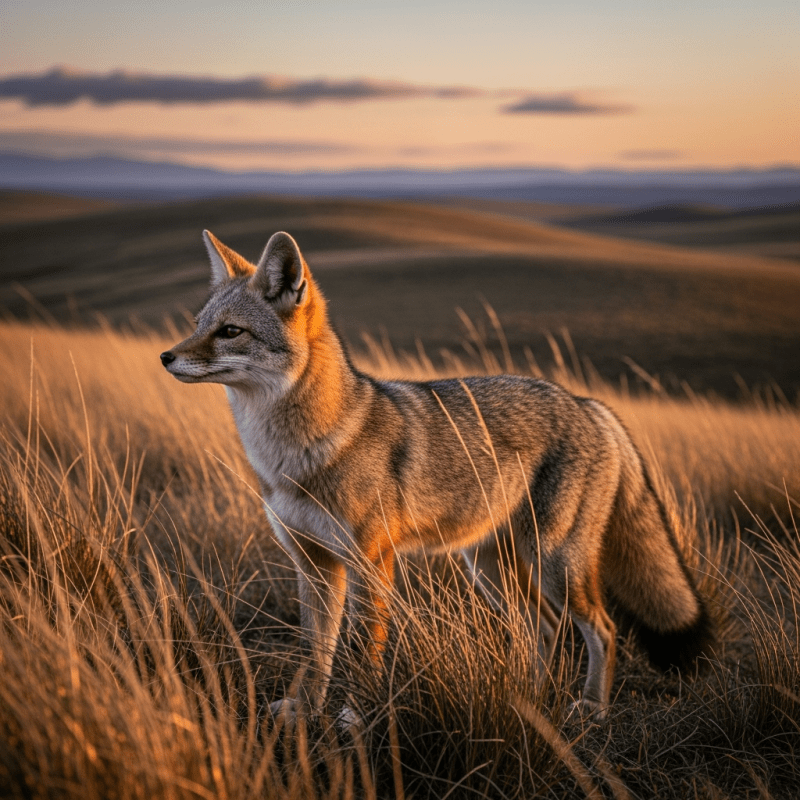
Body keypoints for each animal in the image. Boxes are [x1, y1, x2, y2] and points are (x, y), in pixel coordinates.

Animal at [160, 229, 713, 720]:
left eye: (230, 331)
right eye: (198, 324)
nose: (166, 356)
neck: (295, 455)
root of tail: (587, 403)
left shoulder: (371, 563)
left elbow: (364, 651)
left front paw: (355, 718)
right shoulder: (313, 564)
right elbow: (315, 653)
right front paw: (303, 711)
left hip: (554, 562)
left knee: (601, 628)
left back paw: (593, 708)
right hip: (490, 569)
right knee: (545, 627)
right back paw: (531, 698)